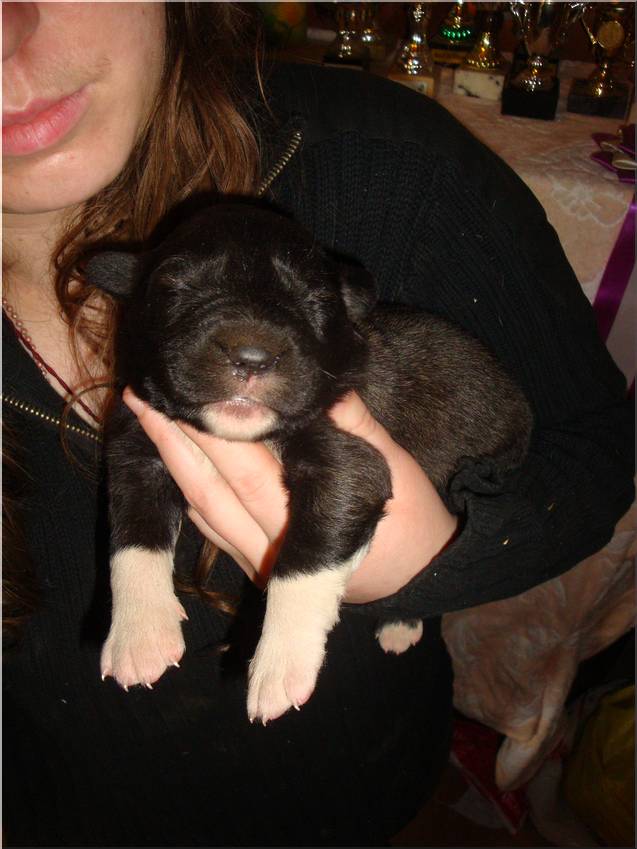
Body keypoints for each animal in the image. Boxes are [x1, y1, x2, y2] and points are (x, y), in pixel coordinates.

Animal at [87, 202, 533, 724]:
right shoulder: (138, 448)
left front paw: (281, 666)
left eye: (316, 301)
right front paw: (139, 633)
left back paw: (400, 623)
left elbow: (303, 560)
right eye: (175, 286)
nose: (252, 357)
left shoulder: (348, 468)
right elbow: (134, 537)